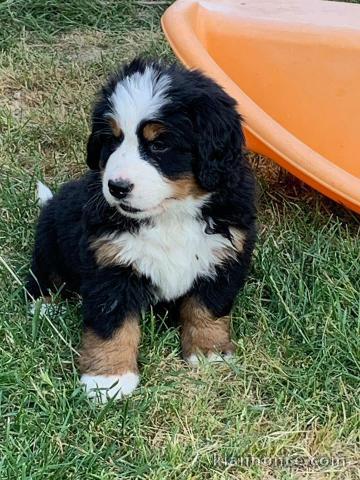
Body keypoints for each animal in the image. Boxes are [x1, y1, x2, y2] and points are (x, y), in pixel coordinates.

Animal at [26, 58, 256, 404]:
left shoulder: (224, 256)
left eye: (159, 144)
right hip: (51, 239)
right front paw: (107, 379)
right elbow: (112, 325)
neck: (171, 215)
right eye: (111, 139)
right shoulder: (110, 265)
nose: (116, 187)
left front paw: (208, 352)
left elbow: (207, 308)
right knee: (44, 273)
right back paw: (44, 305)